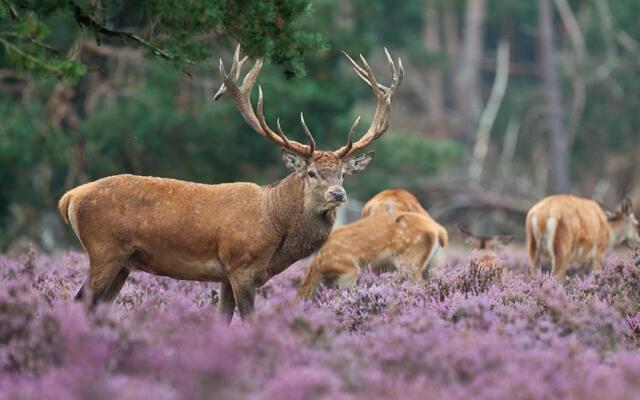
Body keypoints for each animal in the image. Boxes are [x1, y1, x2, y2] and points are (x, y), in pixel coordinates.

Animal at [57, 46, 402, 322]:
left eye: (342, 173)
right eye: (312, 173)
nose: (338, 194)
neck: (274, 222)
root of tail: (70, 197)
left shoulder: (225, 275)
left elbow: (223, 320)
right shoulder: (241, 265)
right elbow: (249, 321)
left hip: (124, 263)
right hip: (104, 250)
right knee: (79, 301)